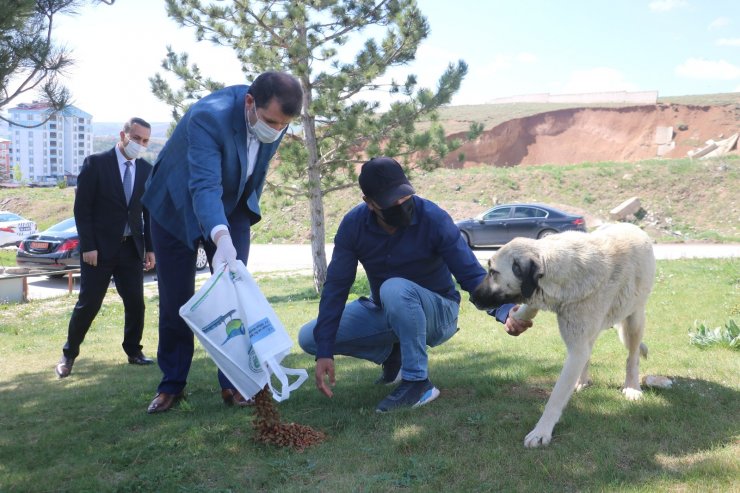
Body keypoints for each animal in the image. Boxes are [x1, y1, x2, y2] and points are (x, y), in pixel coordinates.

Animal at [472, 223, 656, 446]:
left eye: (493, 272)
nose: (471, 297)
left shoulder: (576, 348)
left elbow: (556, 396)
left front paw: (541, 431)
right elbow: (530, 306)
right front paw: (517, 315)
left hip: (634, 320)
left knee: (632, 357)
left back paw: (632, 387)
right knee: (589, 354)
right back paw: (582, 381)